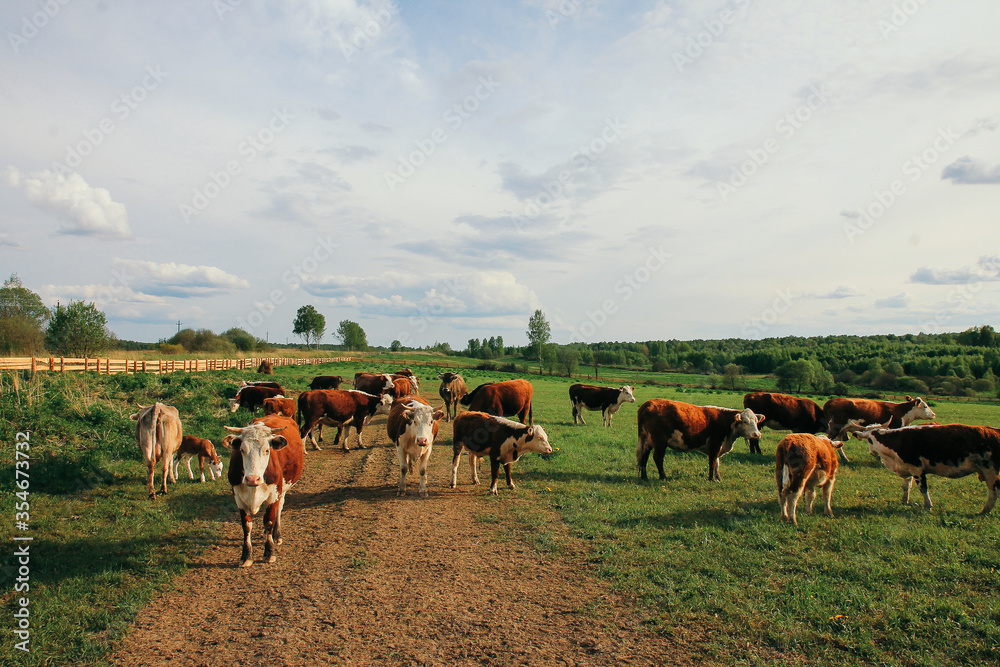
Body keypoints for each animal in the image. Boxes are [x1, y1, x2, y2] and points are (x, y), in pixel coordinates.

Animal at [224, 415, 304, 567]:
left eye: (267, 450)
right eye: (242, 450)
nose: (252, 479)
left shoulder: (274, 494)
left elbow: (269, 521)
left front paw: (269, 553)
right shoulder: (238, 497)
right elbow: (246, 525)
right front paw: (246, 556)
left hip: (283, 490)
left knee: (279, 509)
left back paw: (276, 535)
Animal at [851, 423, 1000, 514]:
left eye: (869, 440)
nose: (872, 453)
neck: (896, 441)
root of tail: (995, 431)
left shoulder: (917, 469)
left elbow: (923, 488)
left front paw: (928, 506)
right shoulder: (907, 468)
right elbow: (906, 486)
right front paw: (904, 501)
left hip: (991, 471)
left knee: (993, 492)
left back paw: (985, 510)